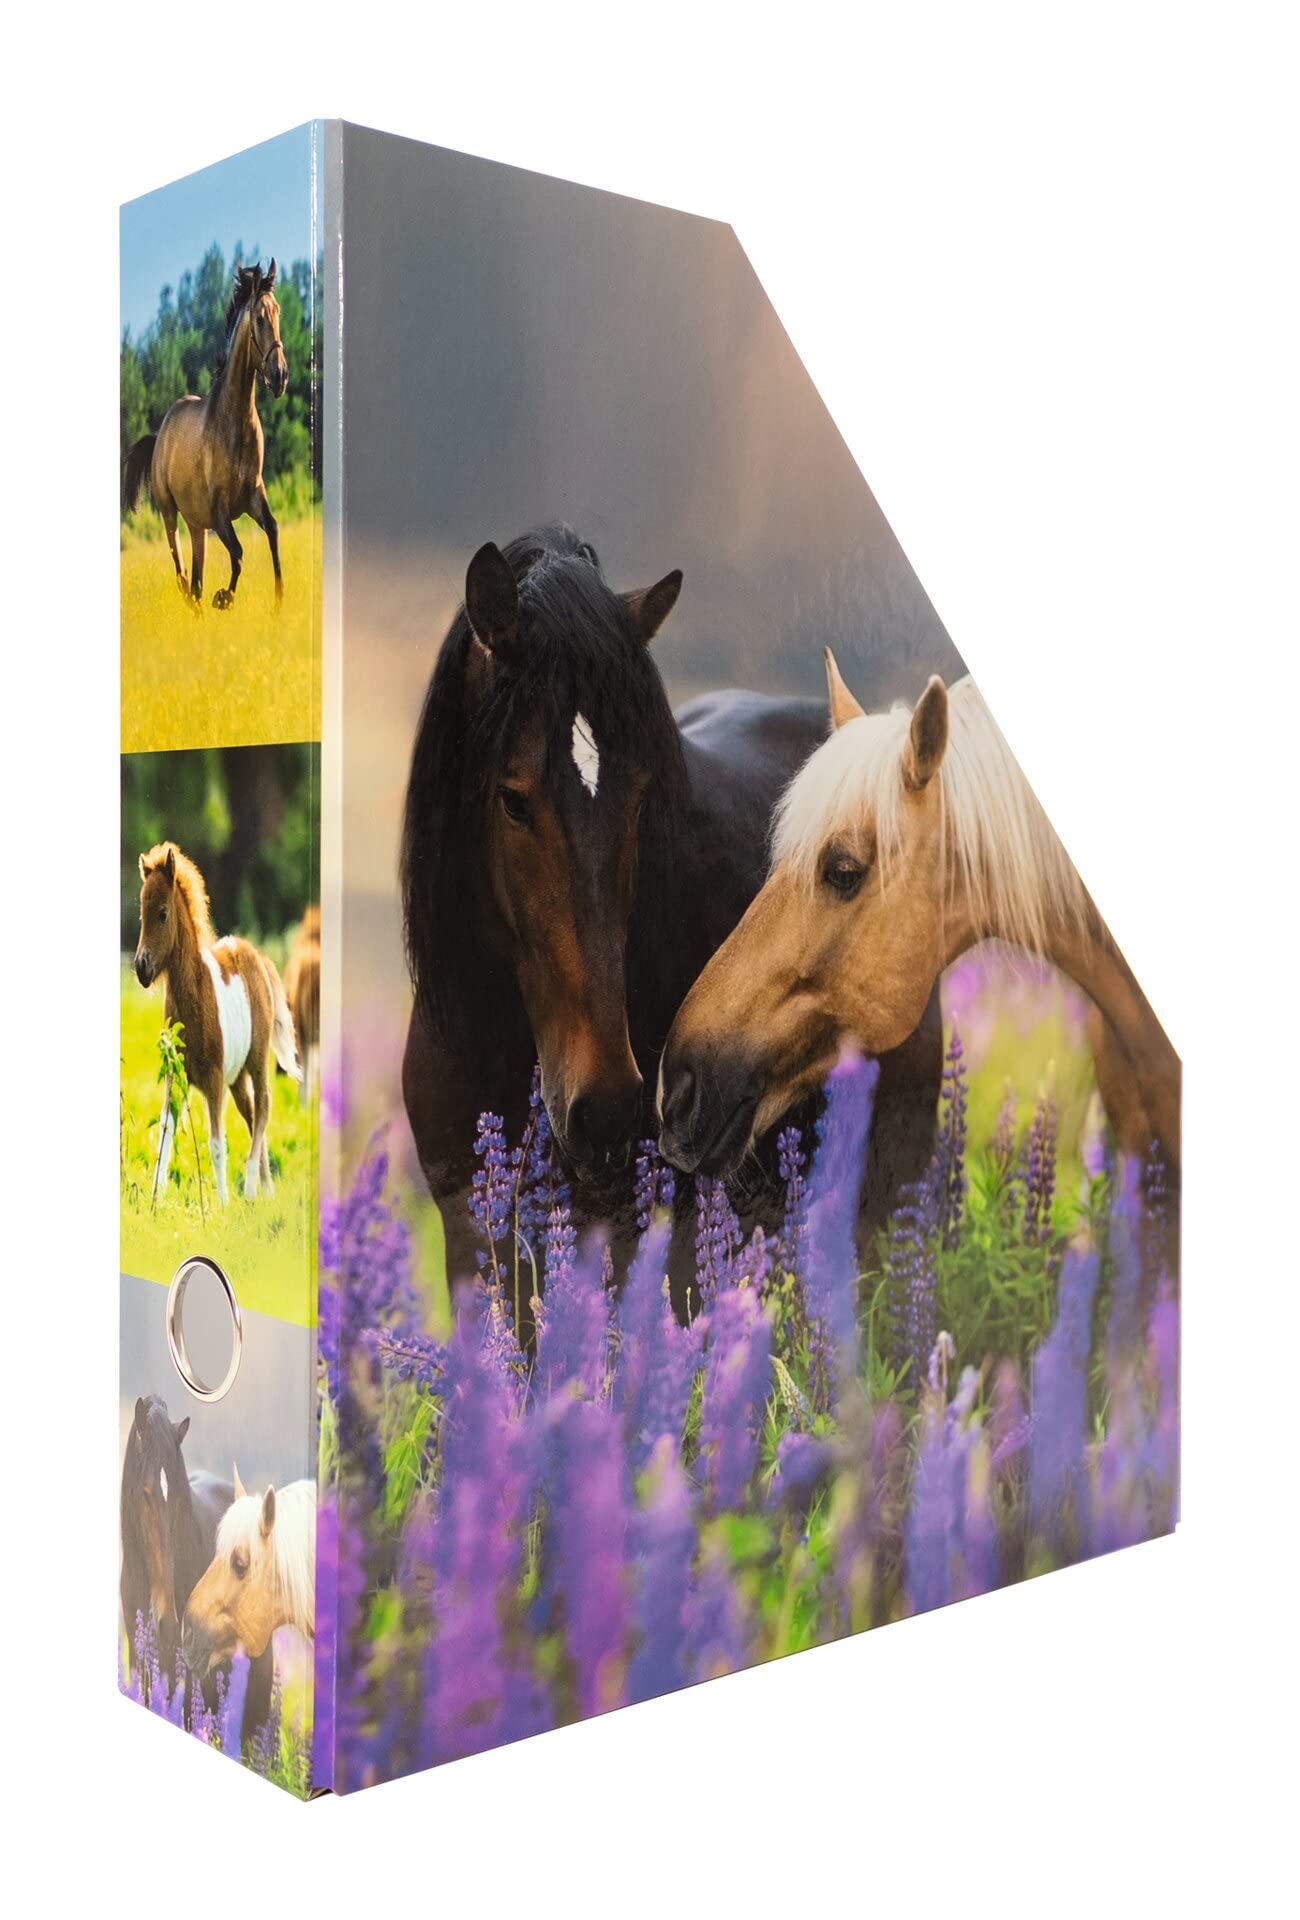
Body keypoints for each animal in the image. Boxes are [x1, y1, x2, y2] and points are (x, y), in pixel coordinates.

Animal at [122, 260, 288, 611]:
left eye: (278, 312)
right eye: (259, 318)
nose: (280, 376)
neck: (234, 425)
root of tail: (160, 434)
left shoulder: (253, 497)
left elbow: (273, 533)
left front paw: (279, 603)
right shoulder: (219, 510)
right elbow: (238, 554)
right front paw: (223, 597)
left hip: (197, 526)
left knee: (196, 579)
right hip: (171, 513)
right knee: (182, 569)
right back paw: (192, 597)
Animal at [134, 843, 298, 1204]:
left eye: (162, 913)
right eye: (141, 914)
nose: (141, 968)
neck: (195, 993)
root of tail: (258, 957)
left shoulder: (213, 1079)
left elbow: (217, 1144)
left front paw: (222, 1204)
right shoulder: (175, 1074)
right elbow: (165, 1133)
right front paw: (155, 1199)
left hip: (255, 1060)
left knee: (264, 1106)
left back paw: (250, 1188)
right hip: (236, 1079)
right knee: (252, 1114)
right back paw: (266, 1192)